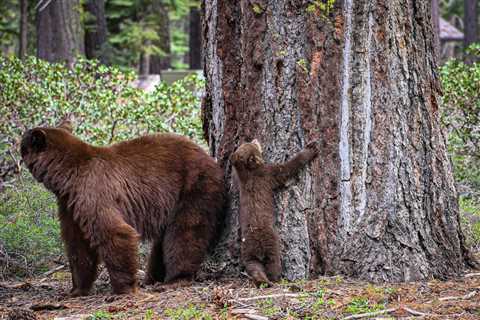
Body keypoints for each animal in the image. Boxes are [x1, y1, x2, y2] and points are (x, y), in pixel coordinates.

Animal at [20, 121, 227, 296]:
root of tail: (211, 158)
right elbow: (78, 245)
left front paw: (122, 288)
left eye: (23, 144)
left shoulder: (94, 191)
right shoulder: (70, 204)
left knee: (185, 232)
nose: (20, 142)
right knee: (163, 241)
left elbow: (115, 232)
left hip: (195, 186)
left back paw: (176, 278)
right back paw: (153, 277)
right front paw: (76, 289)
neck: (68, 177)